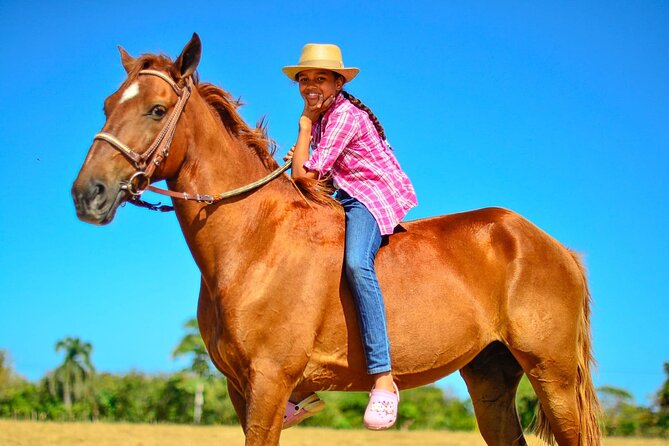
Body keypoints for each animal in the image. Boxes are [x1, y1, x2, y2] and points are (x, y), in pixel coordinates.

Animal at [72, 34, 600, 446]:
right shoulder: (240, 389)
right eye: (106, 106)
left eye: (157, 109)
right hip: (490, 375)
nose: (87, 193)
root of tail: (557, 249)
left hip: (552, 374)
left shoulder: (269, 381)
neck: (255, 242)